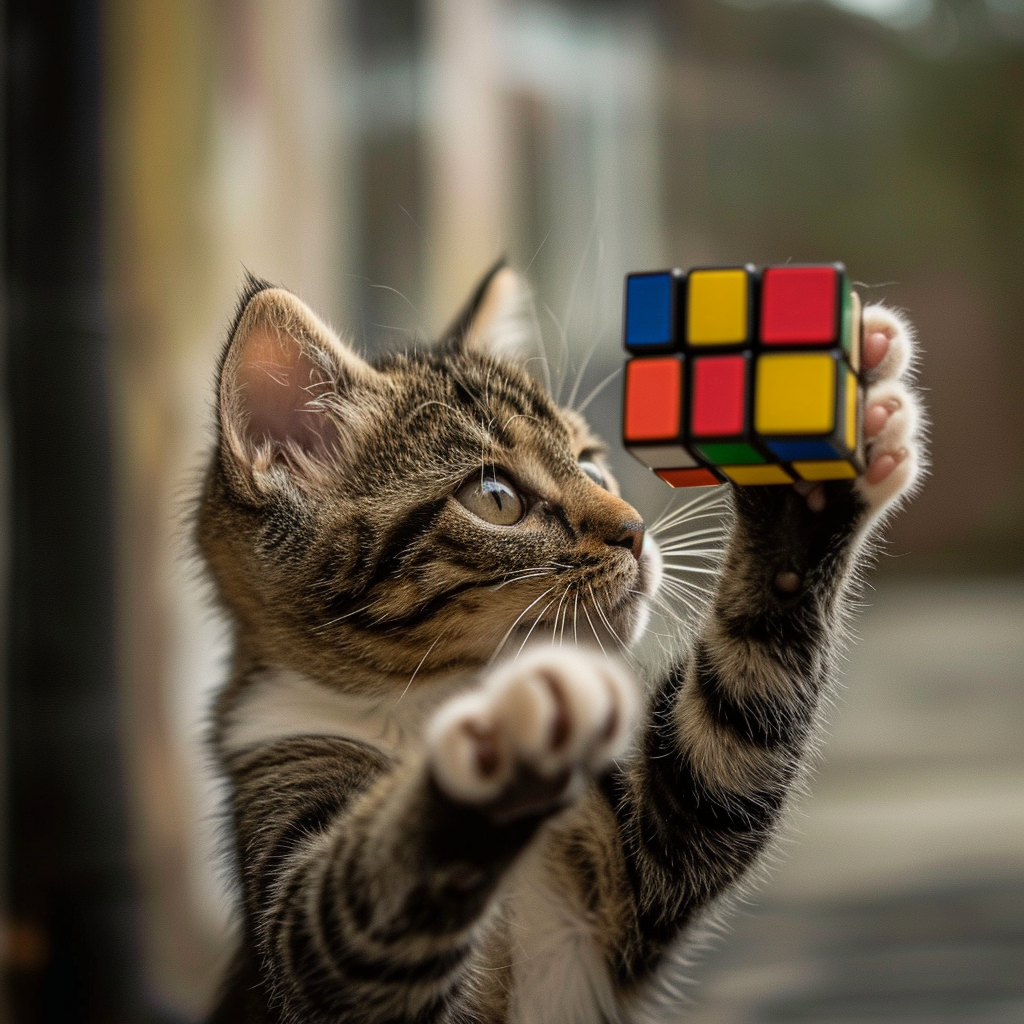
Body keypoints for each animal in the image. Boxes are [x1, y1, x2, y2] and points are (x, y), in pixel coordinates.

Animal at [195, 260, 925, 1019]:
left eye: (593, 465)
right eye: (495, 497)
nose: (635, 529)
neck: (430, 698)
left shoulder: (639, 871)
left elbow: (721, 755)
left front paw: (808, 482)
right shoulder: (289, 835)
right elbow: (347, 924)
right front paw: (503, 743)